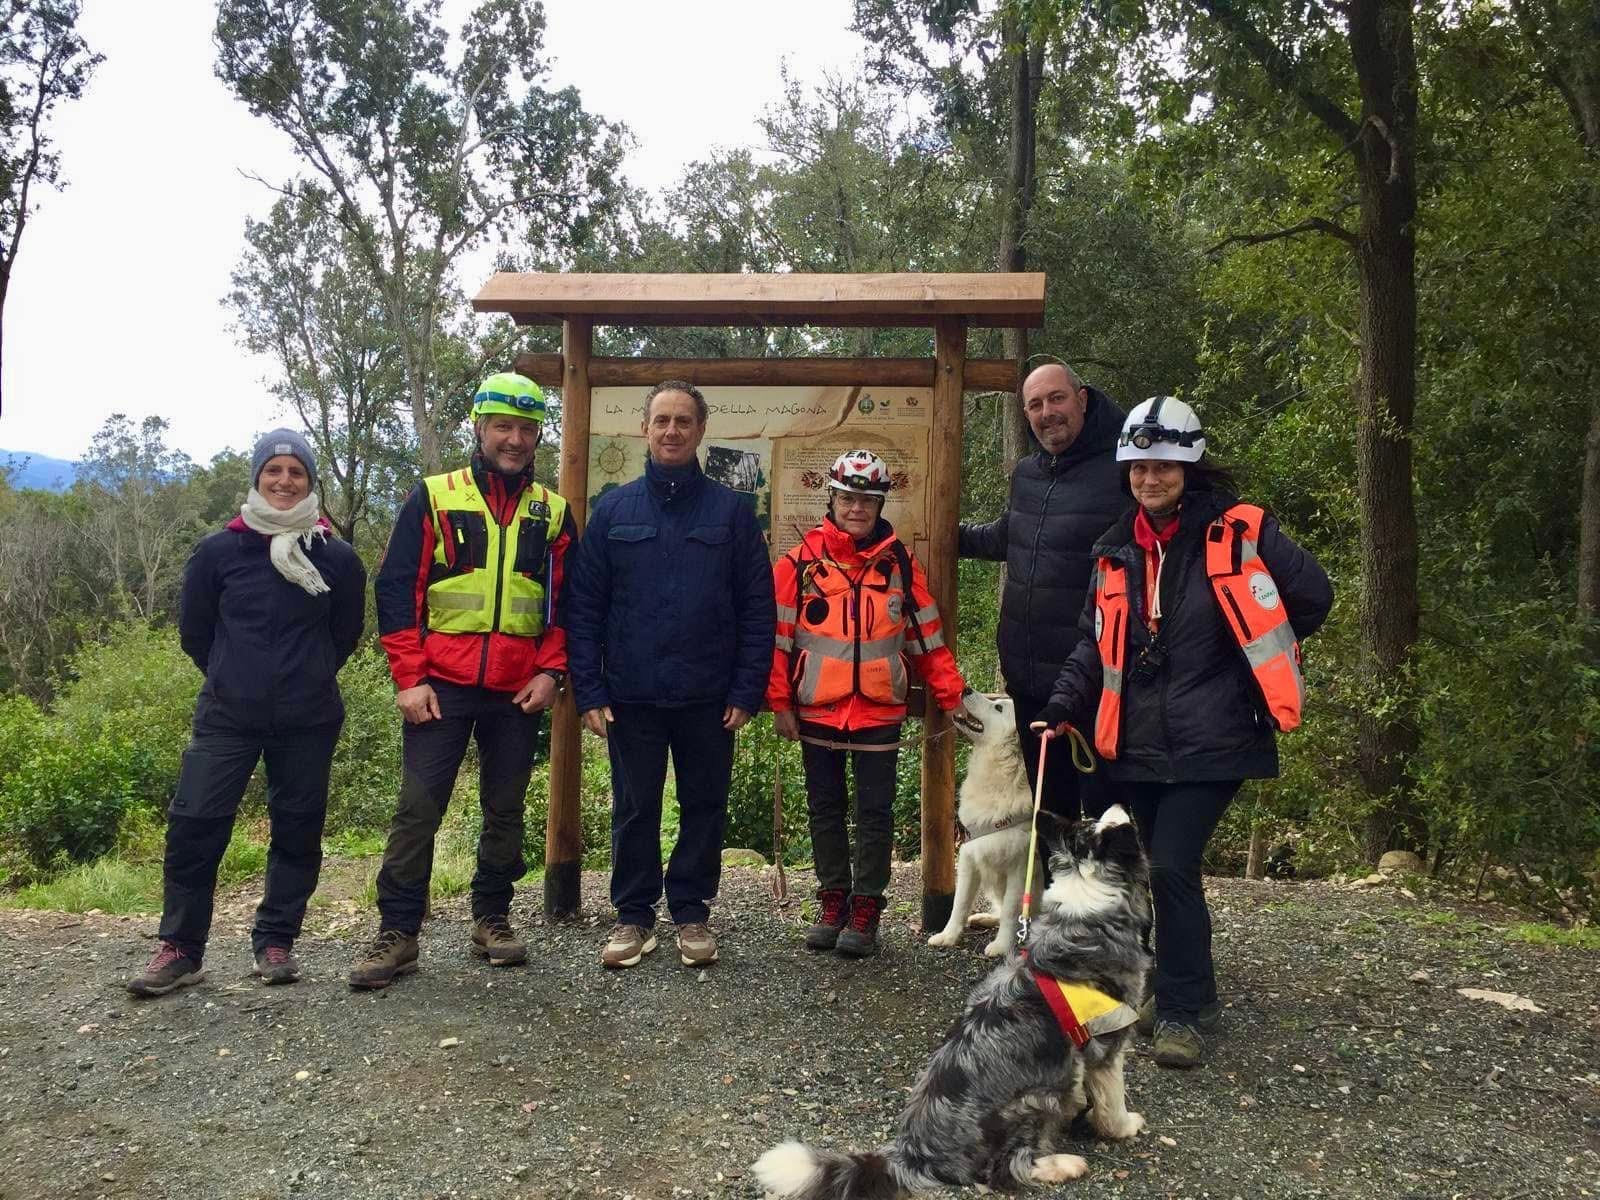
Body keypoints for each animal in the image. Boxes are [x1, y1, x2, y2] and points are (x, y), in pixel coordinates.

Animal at [928, 694, 1036, 960]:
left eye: (997, 707)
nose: (965, 689)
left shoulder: (1019, 866)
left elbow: (1011, 910)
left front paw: (1001, 946)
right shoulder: (969, 856)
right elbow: (960, 903)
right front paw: (947, 936)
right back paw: (983, 918)